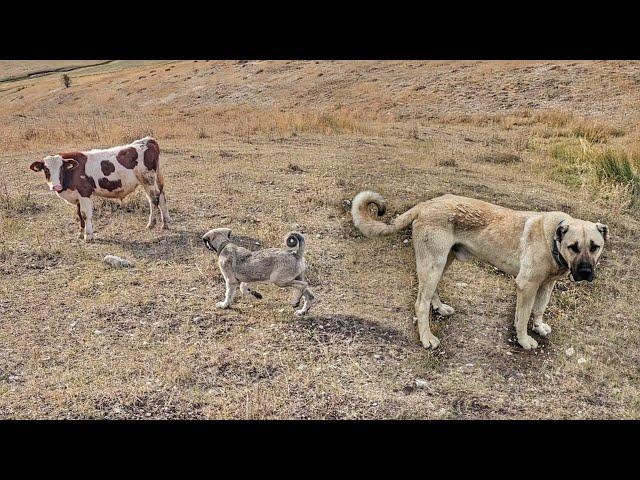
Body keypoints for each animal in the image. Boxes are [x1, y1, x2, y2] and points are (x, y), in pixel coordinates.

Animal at [28, 136, 169, 242]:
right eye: (46, 170)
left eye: (61, 168)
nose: (56, 186)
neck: (72, 172)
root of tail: (148, 140)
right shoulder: (77, 196)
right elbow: (79, 214)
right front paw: (80, 233)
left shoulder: (84, 192)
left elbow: (85, 214)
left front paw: (88, 236)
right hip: (151, 180)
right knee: (161, 195)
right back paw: (165, 223)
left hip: (148, 179)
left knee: (154, 199)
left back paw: (152, 223)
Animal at [352, 189, 608, 350]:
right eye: (573, 247)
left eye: (595, 247)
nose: (586, 272)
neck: (553, 241)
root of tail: (424, 205)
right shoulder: (527, 285)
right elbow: (523, 316)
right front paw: (524, 340)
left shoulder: (546, 285)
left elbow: (538, 309)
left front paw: (538, 327)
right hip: (433, 263)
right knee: (420, 303)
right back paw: (427, 337)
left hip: (443, 262)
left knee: (431, 292)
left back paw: (440, 307)